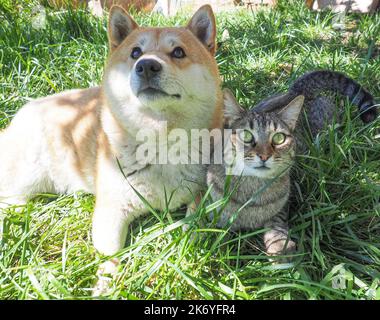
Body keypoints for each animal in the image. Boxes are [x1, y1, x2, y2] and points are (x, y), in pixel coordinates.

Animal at [0, 5, 223, 258]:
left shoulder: (201, 193)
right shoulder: (111, 210)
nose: (147, 66)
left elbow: (194, 225)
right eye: (135, 52)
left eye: (178, 52)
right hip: (27, 174)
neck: (159, 140)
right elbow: (110, 255)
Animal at [208, 70, 378, 260]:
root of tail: (296, 91)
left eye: (279, 138)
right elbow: (215, 233)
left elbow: (276, 223)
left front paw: (279, 244)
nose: (264, 155)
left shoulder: (283, 206)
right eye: (246, 135)